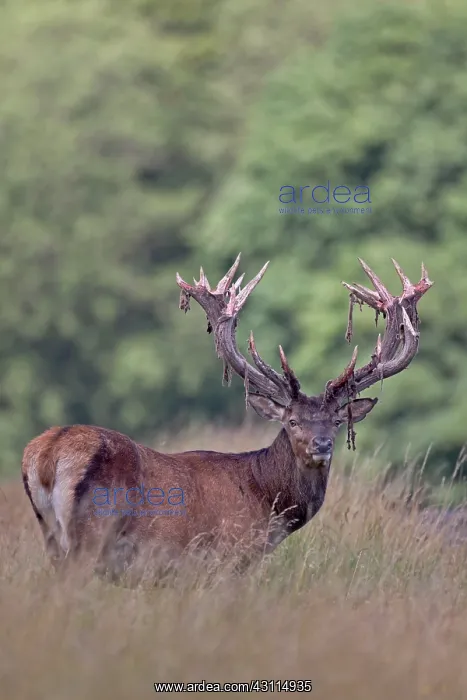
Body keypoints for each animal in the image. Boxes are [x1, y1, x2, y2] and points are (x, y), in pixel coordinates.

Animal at [21, 254, 432, 581]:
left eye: (335, 420)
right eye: (291, 421)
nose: (322, 444)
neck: (265, 504)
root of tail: (46, 453)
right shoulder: (224, 559)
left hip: (51, 536)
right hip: (92, 534)